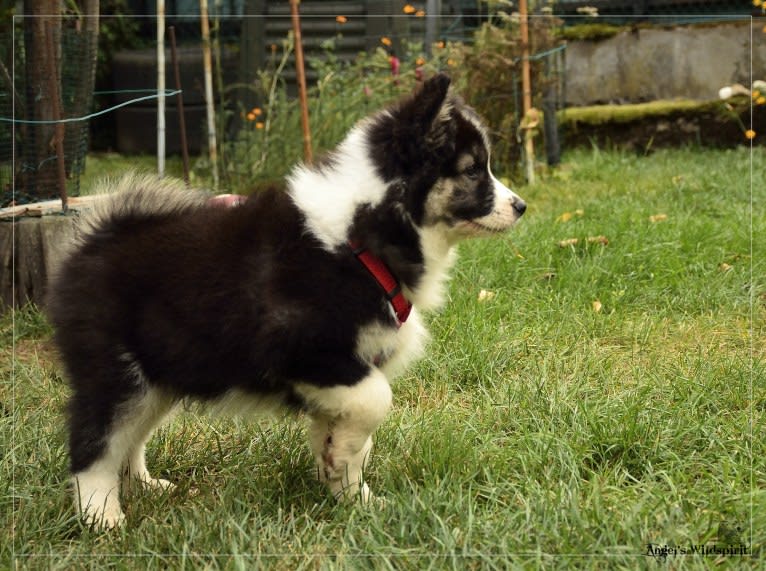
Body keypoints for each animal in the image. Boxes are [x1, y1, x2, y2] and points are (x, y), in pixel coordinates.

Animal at [48, 73, 528, 528]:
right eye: (472, 171)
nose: (521, 206)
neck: (361, 237)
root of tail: (96, 236)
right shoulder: (306, 351)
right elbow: (377, 398)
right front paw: (344, 474)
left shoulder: (338, 374)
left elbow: (350, 433)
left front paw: (350, 492)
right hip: (116, 370)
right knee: (95, 440)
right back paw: (101, 514)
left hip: (161, 374)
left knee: (130, 437)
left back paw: (144, 485)